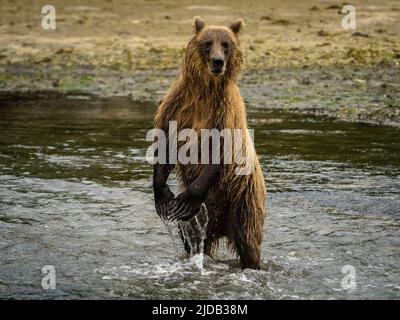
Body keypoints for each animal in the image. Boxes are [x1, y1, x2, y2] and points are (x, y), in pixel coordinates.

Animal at [152, 16, 266, 268]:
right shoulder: (178, 105)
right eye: (207, 43)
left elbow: (220, 153)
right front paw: (163, 197)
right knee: (193, 239)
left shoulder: (224, 113)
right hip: (206, 220)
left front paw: (185, 200)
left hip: (244, 201)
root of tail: (223, 228)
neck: (205, 89)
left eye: (226, 44)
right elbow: (165, 142)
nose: (217, 61)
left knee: (248, 241)